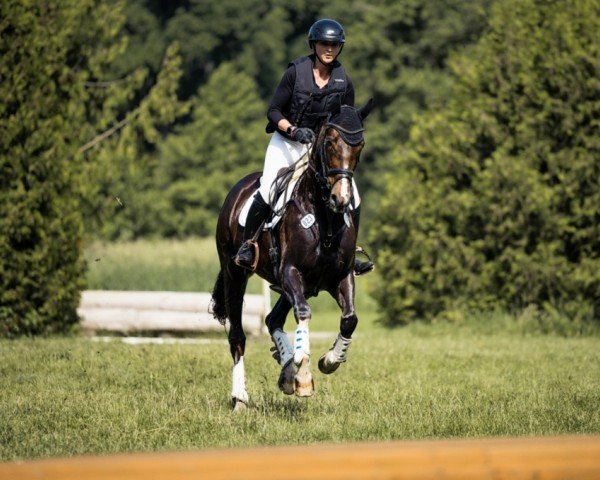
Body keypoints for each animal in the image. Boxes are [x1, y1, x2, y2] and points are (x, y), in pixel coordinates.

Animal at [210, 100, 370, 408]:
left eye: (360, 145)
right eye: (329, 143)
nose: (341, 199)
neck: (324, 218)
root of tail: (237, 190)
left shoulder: (339, 276)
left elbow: (350, 319)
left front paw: (329, 360)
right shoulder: (290, 272)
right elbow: (304, 314)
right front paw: (304, 373)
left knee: (273, 319)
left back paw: (286, 369)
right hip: (235, 274)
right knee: (237, 335)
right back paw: (240, 397)